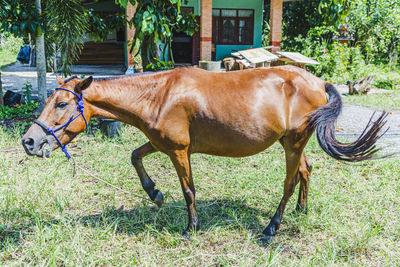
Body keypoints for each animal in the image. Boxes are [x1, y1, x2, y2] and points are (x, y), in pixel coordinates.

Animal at [21, 66, 388, 243]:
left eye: (62, 103)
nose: (29, 141)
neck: (157, 95)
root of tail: (317, 81)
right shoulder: (160, 143)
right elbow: (135, 156)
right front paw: (153, 192)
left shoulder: (178, 150)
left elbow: (188, 190)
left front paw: (191, 227)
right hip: (293, 144)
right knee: (306, 171)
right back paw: (302, 209)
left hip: (293, 143)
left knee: (289, 182)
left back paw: (272, 227)